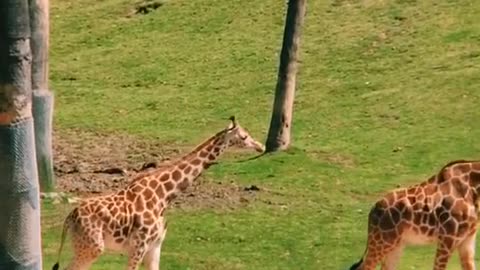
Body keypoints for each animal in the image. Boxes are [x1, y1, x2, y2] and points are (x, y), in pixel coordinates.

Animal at [51, 116, 262, 270]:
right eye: (244, 136)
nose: (261, 146)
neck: (164, 196)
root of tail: (69, 219)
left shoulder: (155, 246)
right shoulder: (139, 246)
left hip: (84, 247)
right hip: (92, 247)